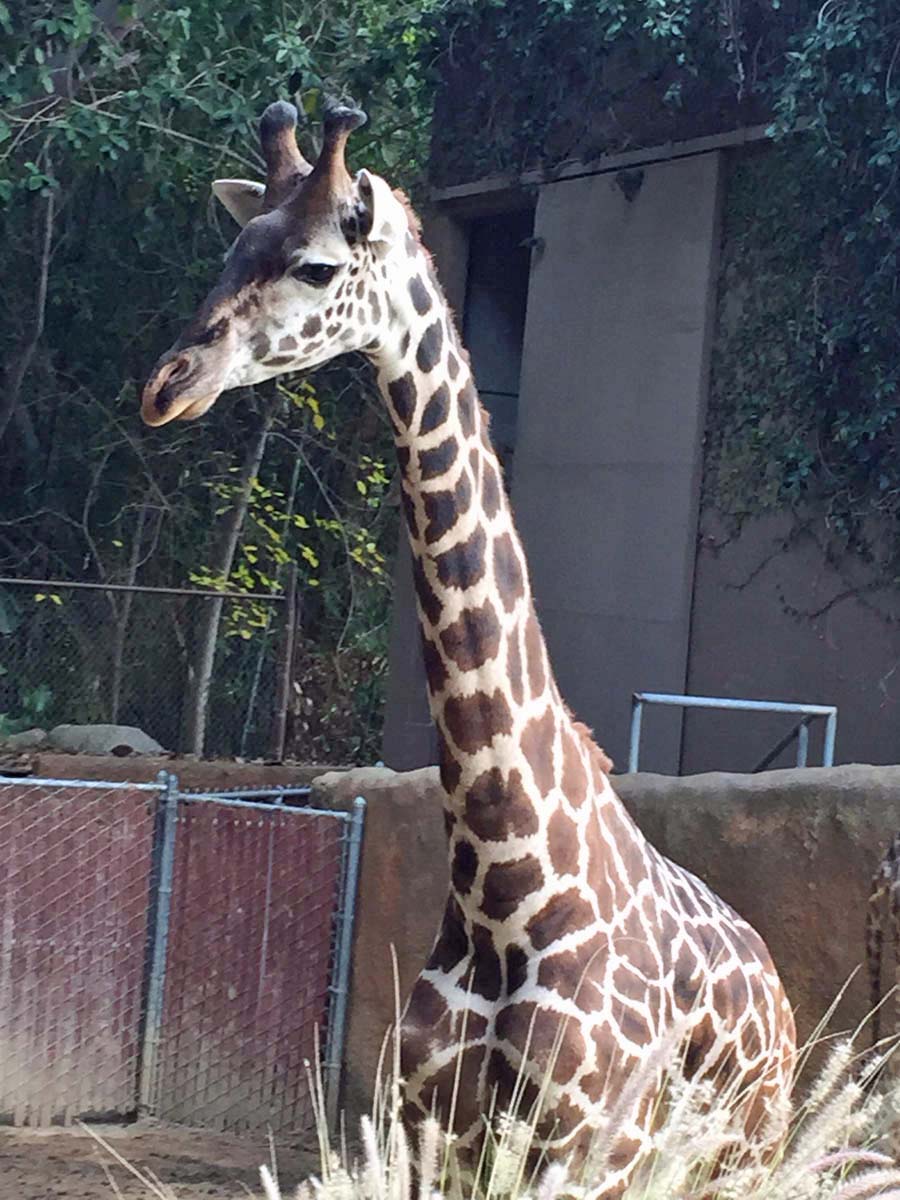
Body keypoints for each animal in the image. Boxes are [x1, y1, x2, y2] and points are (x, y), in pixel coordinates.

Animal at [141, 98, 796, 1185]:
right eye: (232, 249)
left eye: (316, 264)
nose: (168, 382)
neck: (507, 890)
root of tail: (781, 994)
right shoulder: (431, 1135)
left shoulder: (580, 1148)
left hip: (740, 1158)